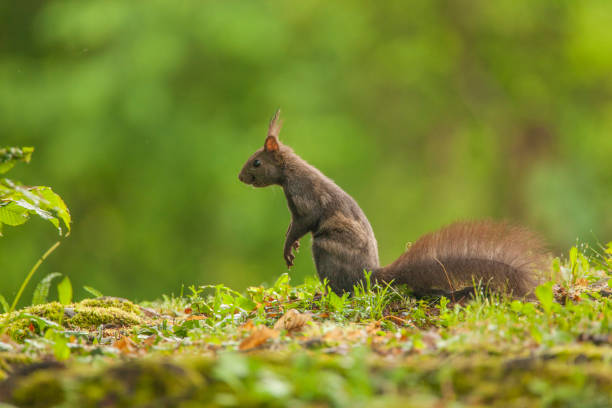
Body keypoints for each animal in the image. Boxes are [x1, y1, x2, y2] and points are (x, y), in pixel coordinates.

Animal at [237, 110, 548, 298]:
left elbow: (301, 223)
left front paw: (288, 248)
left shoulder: (305, 197)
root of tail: (371, 275)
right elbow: (293, 226)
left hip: (326, 246)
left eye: (256, 162)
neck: (289, 171)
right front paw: (291, 247)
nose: (240, 177)